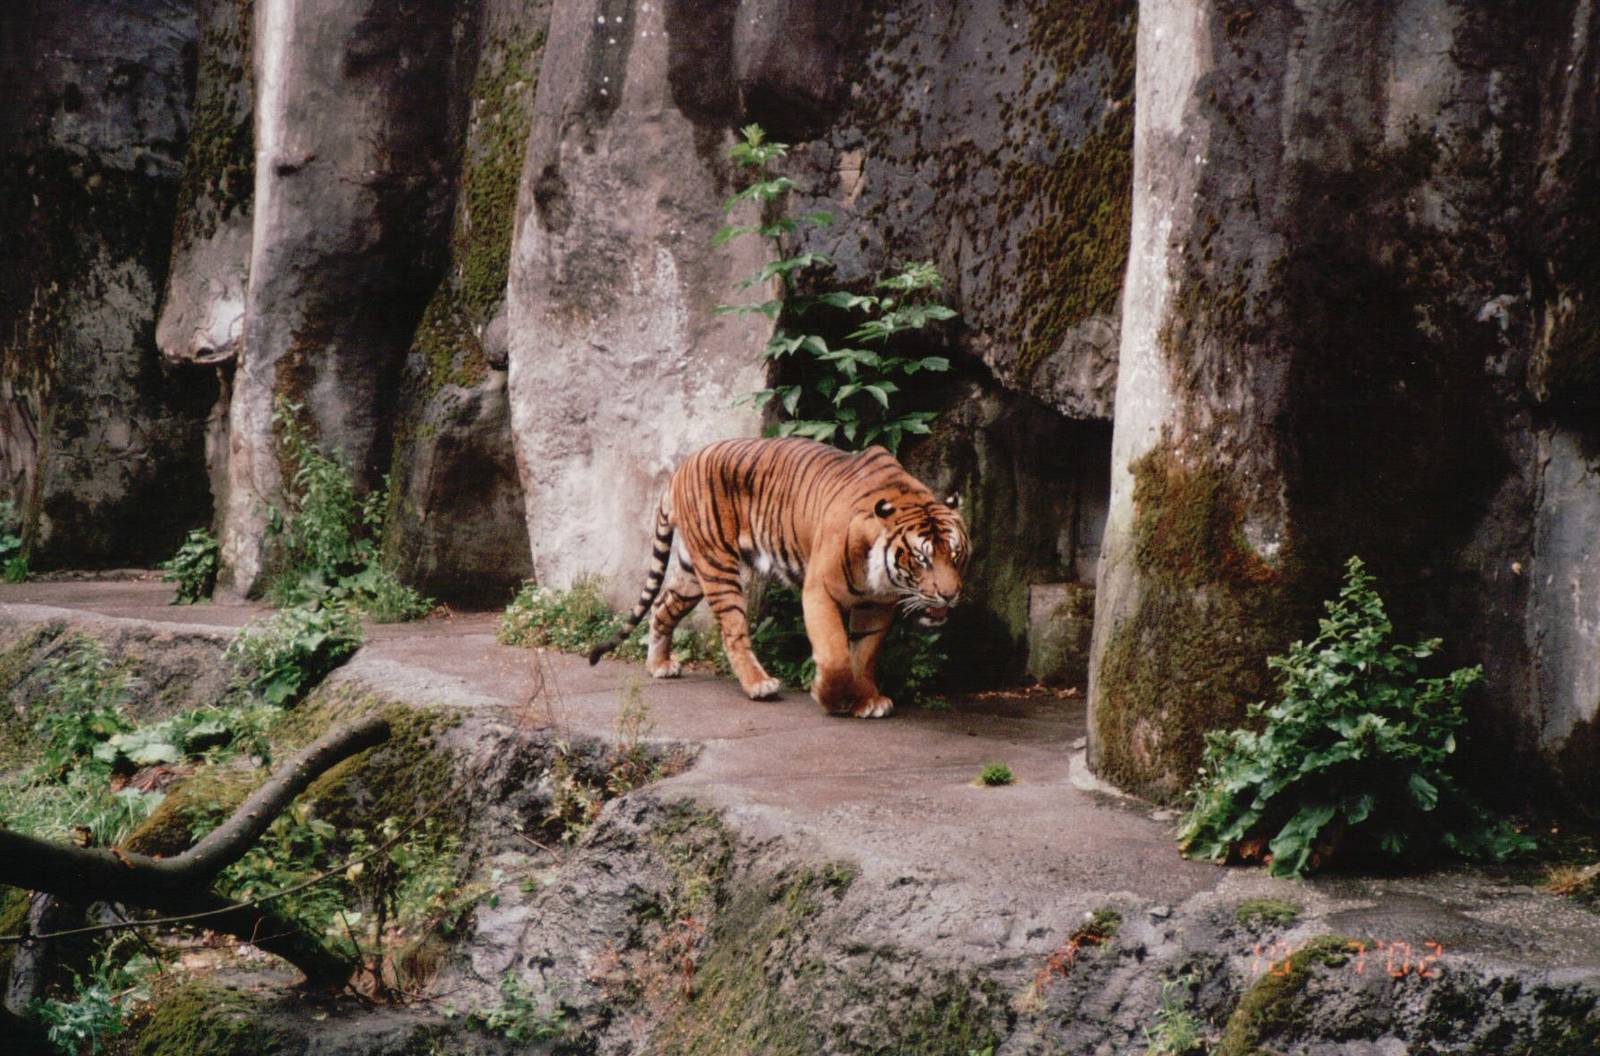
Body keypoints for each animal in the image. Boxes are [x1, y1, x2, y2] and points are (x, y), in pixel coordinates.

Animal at [588, 437, 969, 718]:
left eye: (955, 555)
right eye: (921, 559)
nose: (949, 596)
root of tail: (681, 467)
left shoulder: (876, 603)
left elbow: (864, 654)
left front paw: (867, 700)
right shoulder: (820, 591)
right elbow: (835, 655)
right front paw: (830, 697)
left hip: (692, 570)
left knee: (662, 606)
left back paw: (660, 664)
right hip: (717, 566)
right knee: (732, 631)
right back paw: (759, 685)